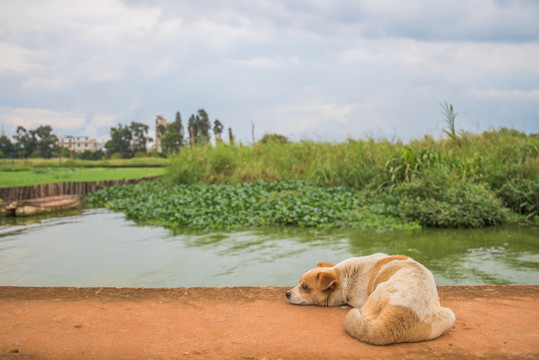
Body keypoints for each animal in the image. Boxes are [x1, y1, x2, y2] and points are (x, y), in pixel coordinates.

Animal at [286, 253, 456, 346]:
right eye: (299, 282)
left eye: (305, 287)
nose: (287, 294)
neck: (345, 275)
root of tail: (403, 313)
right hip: (449, 315)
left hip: (377, 291)